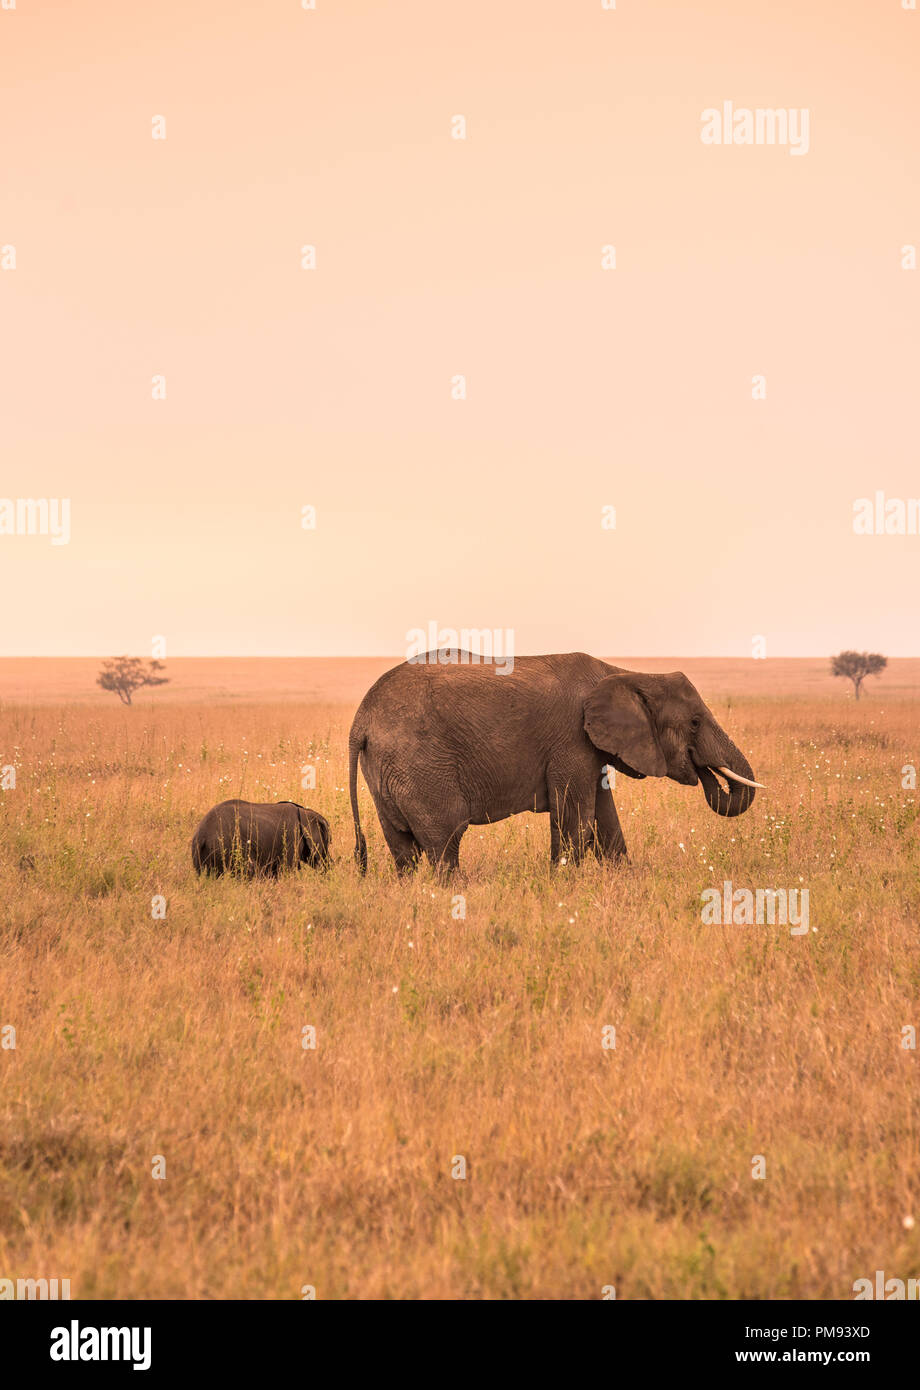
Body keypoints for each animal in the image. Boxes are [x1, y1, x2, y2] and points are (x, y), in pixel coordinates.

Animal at [348, 652, 762, 874]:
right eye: (694, 723)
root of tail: (359, 723)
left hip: (386, 771)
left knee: (403, 849)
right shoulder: (571, 741)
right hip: (418, 765)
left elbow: (606, 821)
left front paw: (624, 882)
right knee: (445, 840)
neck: (624, 673)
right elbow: (575, 820)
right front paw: (566, 887)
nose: (706, 773)